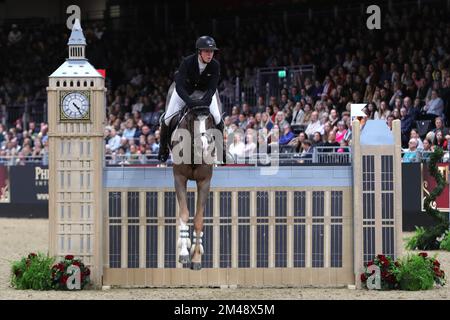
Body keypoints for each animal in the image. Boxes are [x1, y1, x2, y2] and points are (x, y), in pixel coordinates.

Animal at [163, 85, 223, 270]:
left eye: (209, 120)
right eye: (192, 118)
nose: (202, 145)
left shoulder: (204, 182)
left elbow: (198, 219)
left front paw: (196, 258)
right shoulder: (179, 179)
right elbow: (184, 214)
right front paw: (183, 253)